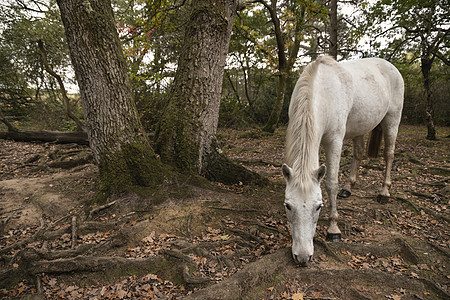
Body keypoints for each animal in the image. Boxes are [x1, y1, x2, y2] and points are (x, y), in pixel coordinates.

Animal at [284, 55, 402, 264]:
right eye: (288, 206)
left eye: (319, 207)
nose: (303, 257)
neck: (322, 93)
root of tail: (390, 66)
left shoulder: (335, 140)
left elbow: (331, 183)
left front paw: (333, 229)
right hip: (360, 127)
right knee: (358, 154)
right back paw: (348, 188)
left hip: (392, 121)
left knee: (389, 154)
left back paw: (384, 192)